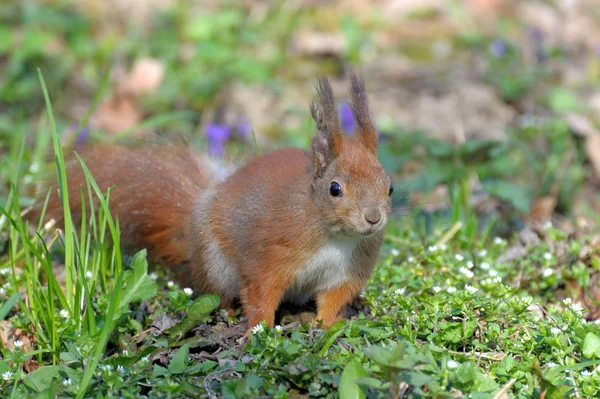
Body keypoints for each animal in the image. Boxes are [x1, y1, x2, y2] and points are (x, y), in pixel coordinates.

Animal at [38, 75, 394, 334]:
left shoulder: (347, 272)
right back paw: (228, 314)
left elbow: (332, 300)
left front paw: (326, 325)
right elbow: (260, 294)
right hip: (215, 264)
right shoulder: (268, 256)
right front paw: (259, 331)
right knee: (218, 294)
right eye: (335, 189)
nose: (373, 218)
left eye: (389, 187)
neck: (333, 236)